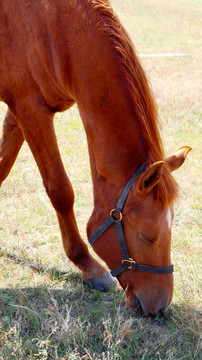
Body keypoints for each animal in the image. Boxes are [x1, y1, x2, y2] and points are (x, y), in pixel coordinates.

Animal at [0, 0, 191, 316]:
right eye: (147, 236)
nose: (161, 307)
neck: (53, 27)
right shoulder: (32, 109)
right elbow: (60, 190)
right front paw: (89, 267)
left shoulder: (19, 110)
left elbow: (3, 166)